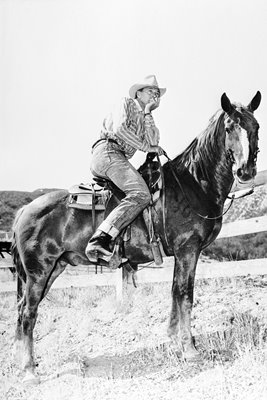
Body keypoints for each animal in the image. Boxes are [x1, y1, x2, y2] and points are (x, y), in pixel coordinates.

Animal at [11, 92, 260, 382]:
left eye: (255, 126)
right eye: (230, 127)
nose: (245, 171)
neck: (193, 184)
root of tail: (25, 211)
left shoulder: (183, 253)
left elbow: (175, 292)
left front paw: (174, 341)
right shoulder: (188, 249)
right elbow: (185, 294)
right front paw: (189, 349)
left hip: (52, 270)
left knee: (23, 311)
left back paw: (25, 365)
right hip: (39, 272)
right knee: (28, 313)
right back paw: (29, 372)